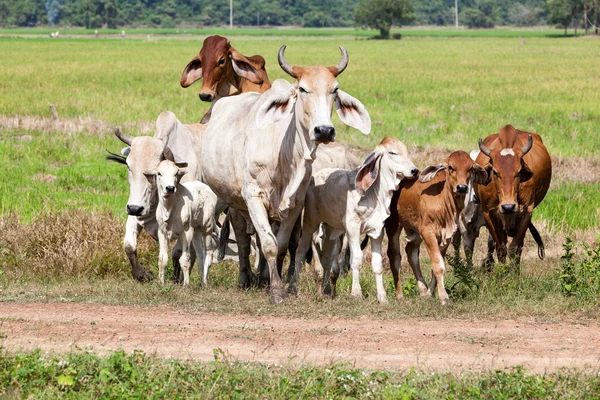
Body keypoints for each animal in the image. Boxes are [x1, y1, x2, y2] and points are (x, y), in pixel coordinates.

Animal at [202, 45, 370, 304]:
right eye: (302, 89)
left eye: (334, 90)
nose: (324, 130)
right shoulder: (253, 196)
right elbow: (268, 244)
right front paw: (277, 293)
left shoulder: (295, 204)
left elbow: (279, 246)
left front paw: (274, 282)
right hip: (234, 202)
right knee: (242, 239)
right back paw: (245, 279)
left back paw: (262, 278)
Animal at [476, 123, 552, 264]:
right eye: (495, 172)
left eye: (518, 172)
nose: (508, 207)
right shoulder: (488, 212)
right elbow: (501, 248)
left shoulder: (527, 211)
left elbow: (514, 248)